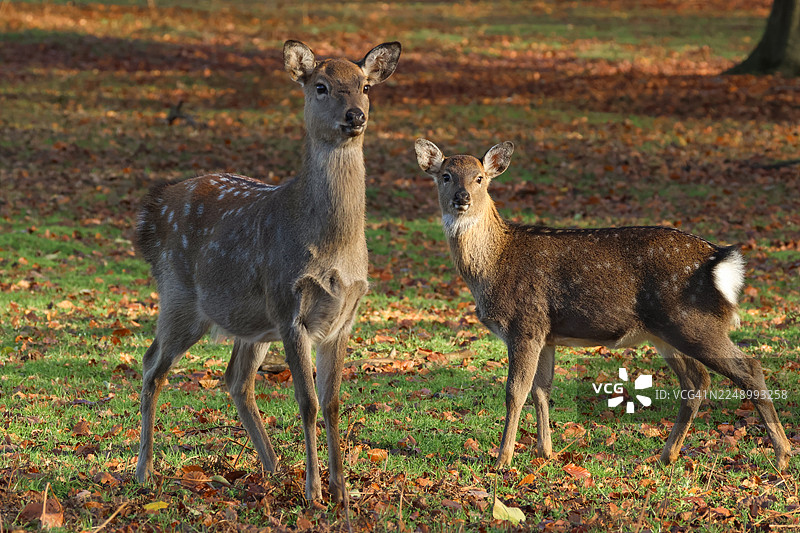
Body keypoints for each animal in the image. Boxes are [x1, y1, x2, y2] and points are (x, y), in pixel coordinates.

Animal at [133, 40, 401, 504]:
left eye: (365, 86)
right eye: (320, 86)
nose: (356, 116)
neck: (334, 248)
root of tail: (151, 213)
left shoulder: (344, 318)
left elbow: (333, 403)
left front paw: (341, 490)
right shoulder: (289, 306)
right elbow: (308, 402)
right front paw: (314, 491)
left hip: (253, 323)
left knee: (236, 379)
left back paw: (273, 468)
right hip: (180, 297)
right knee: (152, 365)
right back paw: (144, 471)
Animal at [415, 138, 792, 471]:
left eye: (479, 178)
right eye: (446, 176)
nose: (462, 198)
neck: (494, 265)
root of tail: (720, 259)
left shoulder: (525, 323)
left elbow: (515, 391)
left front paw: (502, 460)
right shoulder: (546, 333)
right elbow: (541, 390)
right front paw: (545, 452)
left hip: (693, 321)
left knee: (748, 368)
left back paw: (781, 455)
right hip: (666, 332)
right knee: (696, 381)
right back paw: (666, 455)